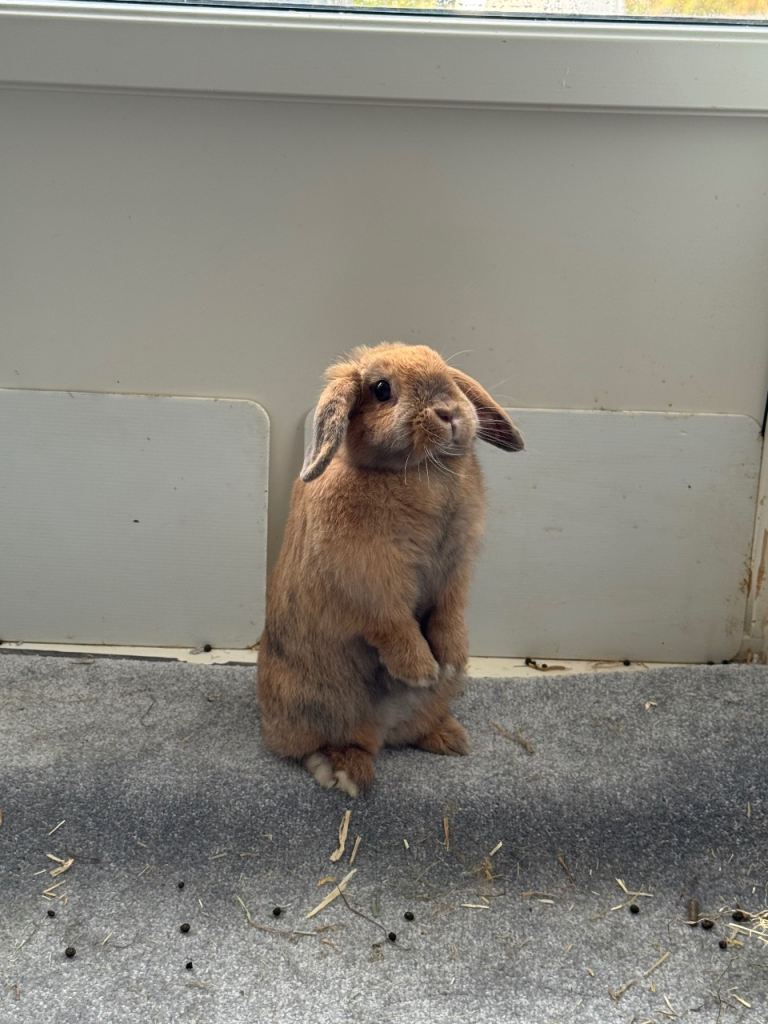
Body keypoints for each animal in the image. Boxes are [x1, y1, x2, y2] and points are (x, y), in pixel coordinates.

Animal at [257, 342, 524, 796]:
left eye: (446, 371)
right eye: (382, 389)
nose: (449, 412)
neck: (420, 470)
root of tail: (382, 728)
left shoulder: (456, 570)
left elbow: (449, 612)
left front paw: (451, 657)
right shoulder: (369, 581)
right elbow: (393, 624)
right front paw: (420, 671)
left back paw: (449, 737)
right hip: (317, 705)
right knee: (321, 745)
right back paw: (345, 772)